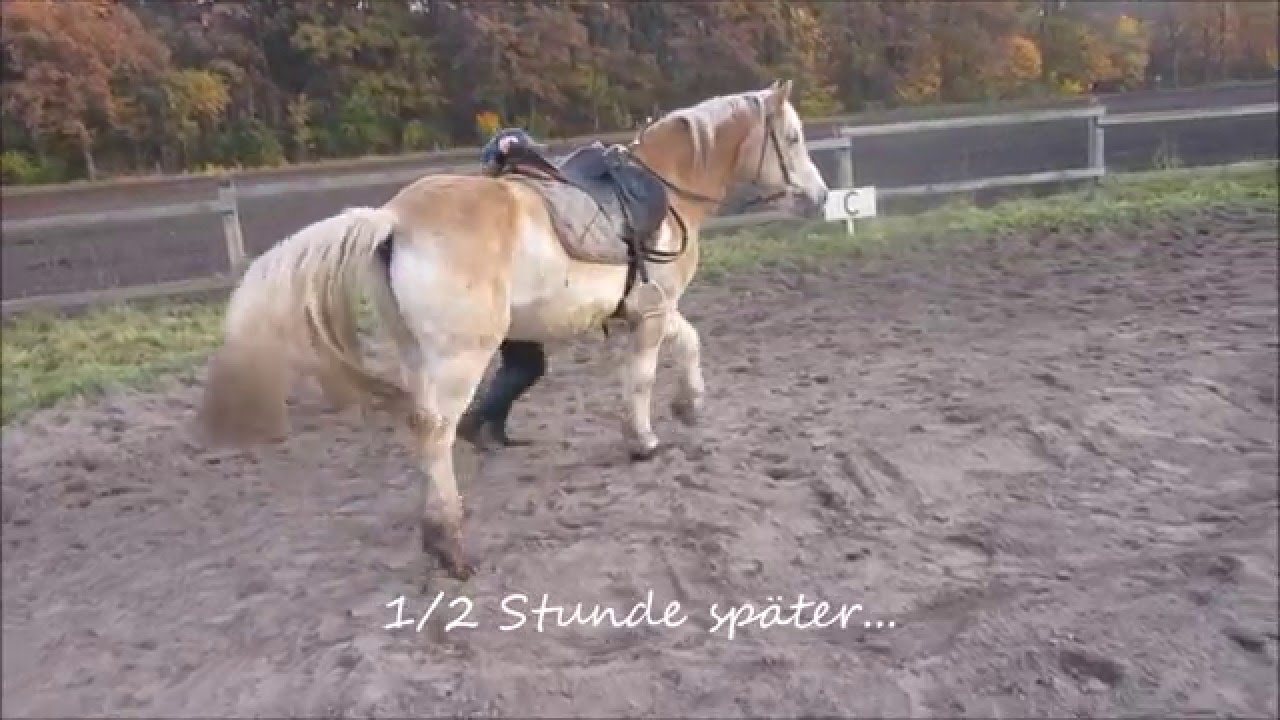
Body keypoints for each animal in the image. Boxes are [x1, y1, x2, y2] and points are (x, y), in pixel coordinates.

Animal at [196, 79, 830, 580]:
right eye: (793, 137)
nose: (821, 197)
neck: (666, 188)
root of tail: (395, 220)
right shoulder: (653, 310)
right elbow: (644, 377)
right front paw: (645, 440)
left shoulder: (647, 310)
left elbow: (686, 344)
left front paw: (690, 405)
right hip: (460, 358)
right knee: (435, 433)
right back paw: (449, 546)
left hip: (419, 354)